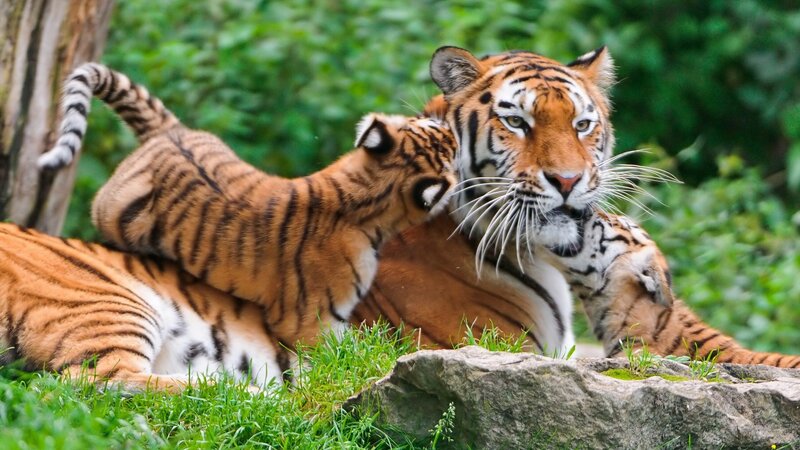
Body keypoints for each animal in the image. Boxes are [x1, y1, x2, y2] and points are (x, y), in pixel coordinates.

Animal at [38, 63, 457, 350]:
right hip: (110, 214)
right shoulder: (312, 322)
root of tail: (170, 132)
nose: (447, 119)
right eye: (443, 139)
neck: (362, 190)